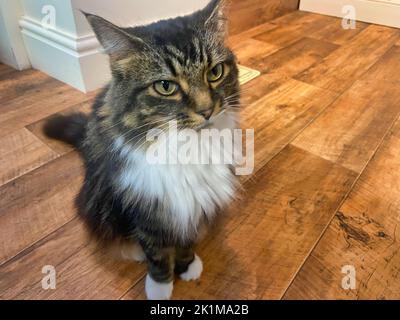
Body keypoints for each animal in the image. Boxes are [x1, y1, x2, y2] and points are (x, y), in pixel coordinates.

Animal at [44, 0, 239, 300]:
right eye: (165, 86)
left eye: (215, 72)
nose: (207, 111)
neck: (186, 148)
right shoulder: (146, 206)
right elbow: (156, 253)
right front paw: (160, 287)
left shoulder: (194, 203)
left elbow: (186, 240)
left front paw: (187, 267)